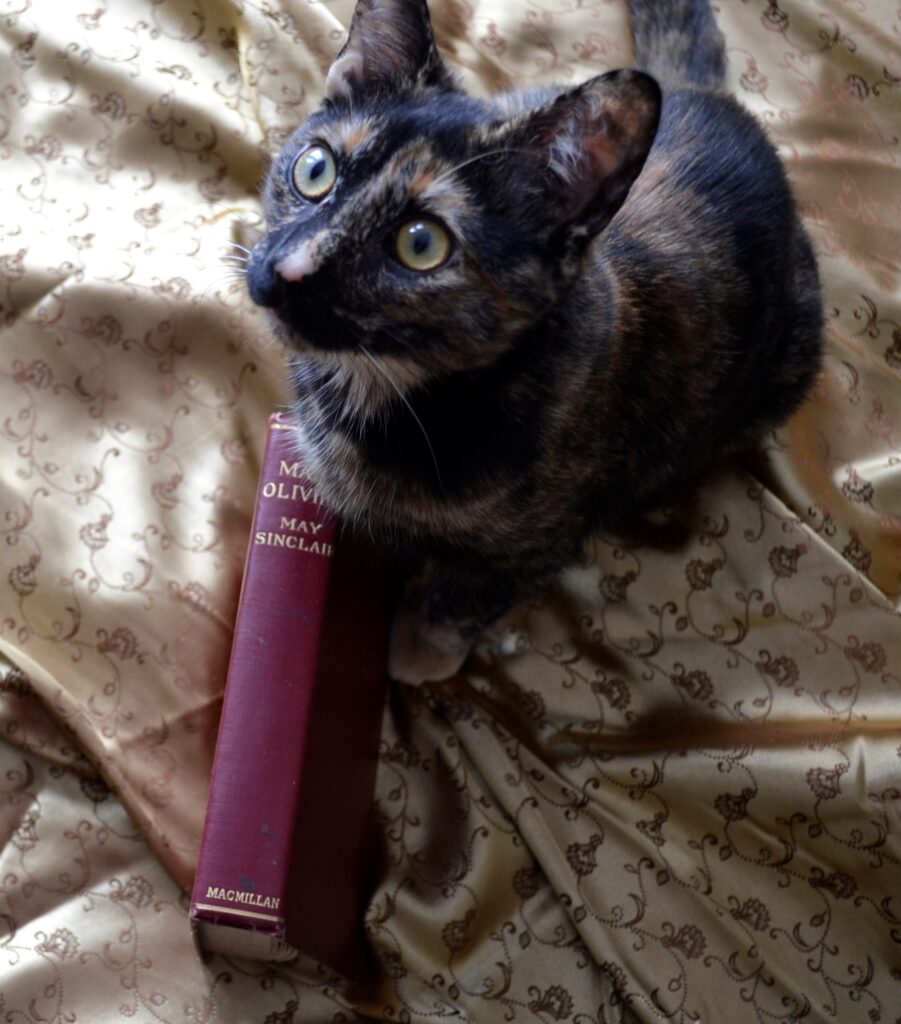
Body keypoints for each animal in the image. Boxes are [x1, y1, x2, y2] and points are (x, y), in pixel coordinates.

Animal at [246, 2, 823, 688]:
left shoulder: (546, 539)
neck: (387, 388)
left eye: (422, 243)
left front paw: (422, 648)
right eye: (316, 169)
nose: (287, 272)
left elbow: (473, 593)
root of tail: (710, 96)